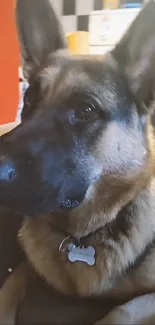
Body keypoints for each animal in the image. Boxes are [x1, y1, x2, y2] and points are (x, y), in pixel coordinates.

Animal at [0, 0, 155, 322]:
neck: (83, 236)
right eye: (28, 101)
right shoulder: (27, 266)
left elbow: (120, 312)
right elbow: (7, 288)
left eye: (85, 110)